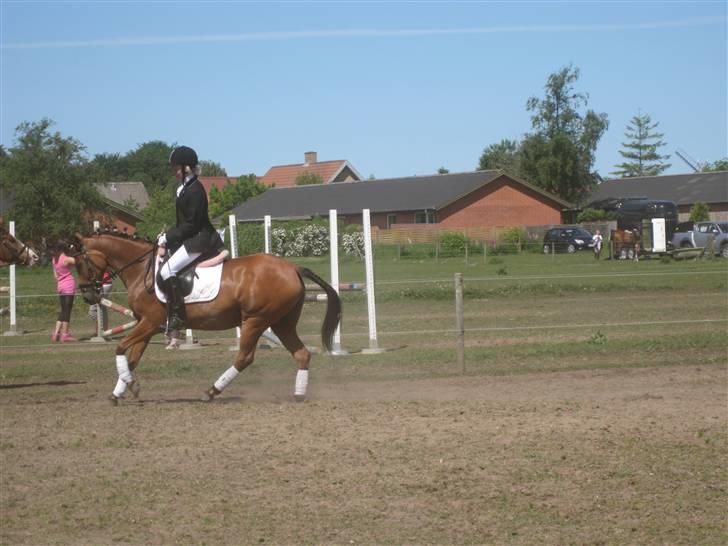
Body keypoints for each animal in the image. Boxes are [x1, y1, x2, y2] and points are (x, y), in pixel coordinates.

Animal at [72, 231, 342, 404]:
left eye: (80, 263)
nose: (87, 296)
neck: (142, 270)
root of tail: (293, 267)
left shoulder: (150, 323)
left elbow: (119, 348)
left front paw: (132, 386)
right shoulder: (145, 325)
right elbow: (132, 359)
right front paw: (119, 392)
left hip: (255, 321)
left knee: (245, 357)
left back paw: (211, 392)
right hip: (281, 323)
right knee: (302, 354)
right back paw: (299, 394)